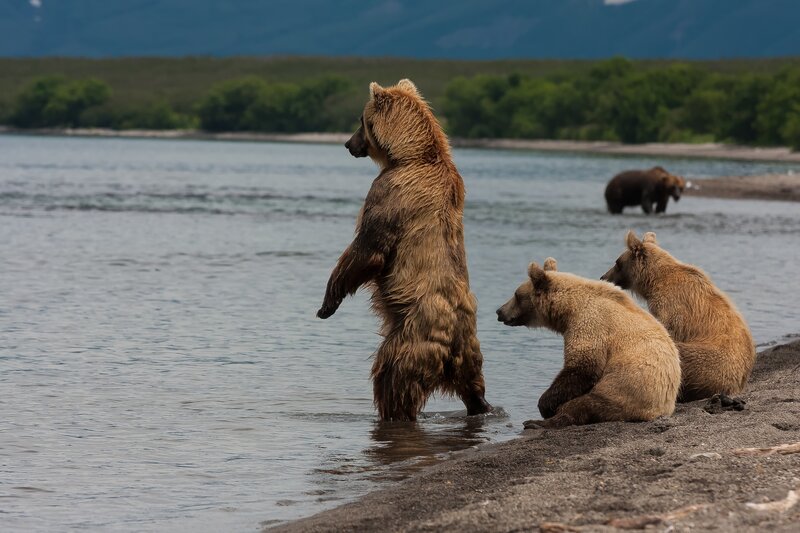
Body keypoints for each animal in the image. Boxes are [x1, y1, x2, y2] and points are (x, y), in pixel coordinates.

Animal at [317, 79, 491, 421]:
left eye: (360, 121)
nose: (347, 144)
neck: (410, 156)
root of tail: (451, 342)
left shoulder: (390, 192)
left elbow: (368, 248)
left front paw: (327, 303)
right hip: (469, 349)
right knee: (474, 384)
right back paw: (482, 407)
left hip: (411, 336)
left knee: (392, 376)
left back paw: (392, 411)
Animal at [496, 257, 681, 428]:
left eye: (516, 295)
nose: (499, 311)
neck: (568, 310)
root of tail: (659, 411)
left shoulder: (589, 324)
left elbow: (583, 367)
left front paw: (545, 406)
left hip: (625, 391)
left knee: (584, 405)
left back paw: (538, 422)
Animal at [601, 231, 756, 402]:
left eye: (617, 263)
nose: (603, 277)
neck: (653, 281)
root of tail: (736, 385)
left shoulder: (672, 306)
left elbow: (666, 331)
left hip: (712, 362)